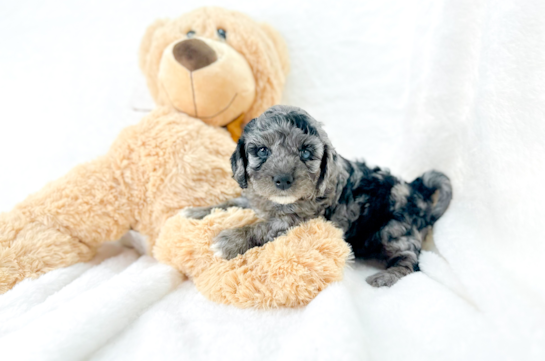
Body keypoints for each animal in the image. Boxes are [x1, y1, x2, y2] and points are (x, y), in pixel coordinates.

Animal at [183, 105, 450, 286]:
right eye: (262, 151)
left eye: (305, 152)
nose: (283, 179)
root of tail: (416, 189)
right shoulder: (253, 198)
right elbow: (230, 203)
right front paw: (195, 211)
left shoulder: (298, 219)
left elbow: (262, 226)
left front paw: (230, 241)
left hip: (394, 231)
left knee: (411, 260)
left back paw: (386, 277)